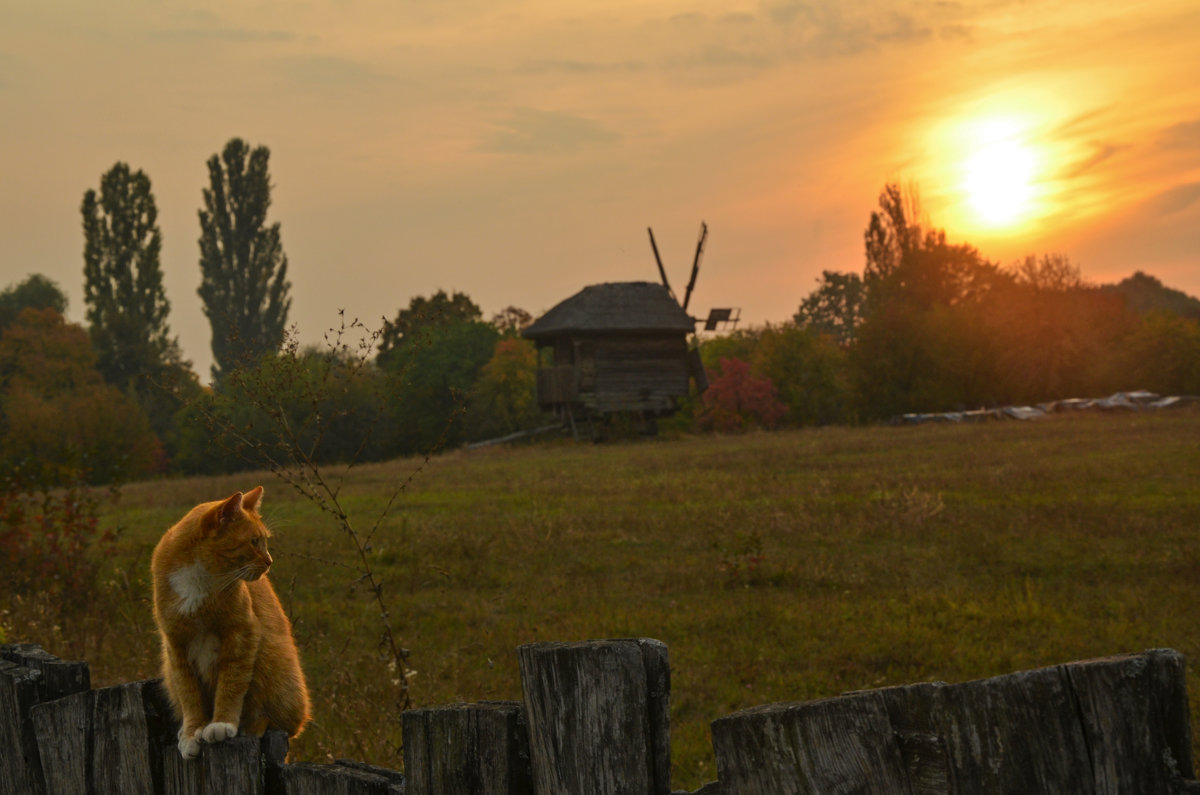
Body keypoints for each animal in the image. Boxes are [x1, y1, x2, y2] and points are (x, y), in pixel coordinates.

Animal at [151, 485, 309, 758]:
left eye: (264, 540)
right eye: (254, 541)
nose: (269, 561)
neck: (200, 579)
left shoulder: (242, 633)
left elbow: (232, 682)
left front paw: (221, 723)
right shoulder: (175, 646)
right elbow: (188, 693)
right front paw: (192, 732)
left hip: (272, 660)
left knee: (282, 722)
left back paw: (253, 726)